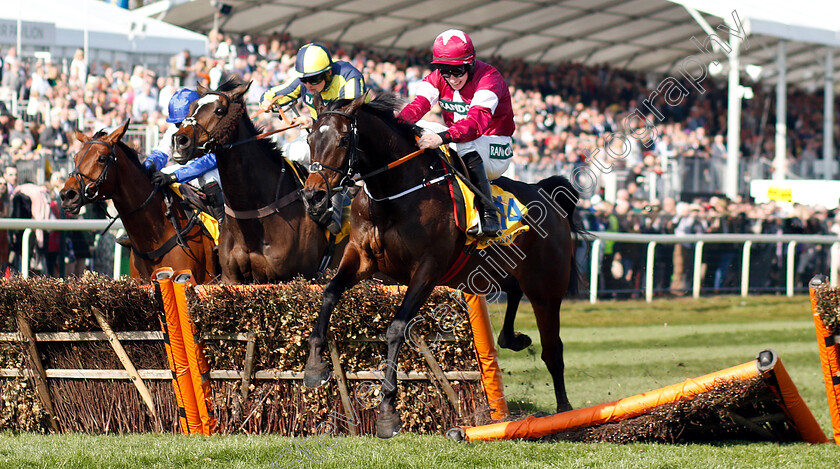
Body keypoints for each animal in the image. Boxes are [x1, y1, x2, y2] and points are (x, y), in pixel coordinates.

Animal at [302, 93, 584, 436]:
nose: (313, 196)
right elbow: (329, 293)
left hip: (546, 287)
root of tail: (546, 193)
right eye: (309, 138)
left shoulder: (427, 269)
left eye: (344, 139)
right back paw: (514, 339)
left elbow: (397, 328)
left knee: (552, 349)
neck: (395, 192)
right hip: (496, 271)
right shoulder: (360, 257)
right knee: (514, 294)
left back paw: (565, 413)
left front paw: (388, 412)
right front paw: (315, 367)